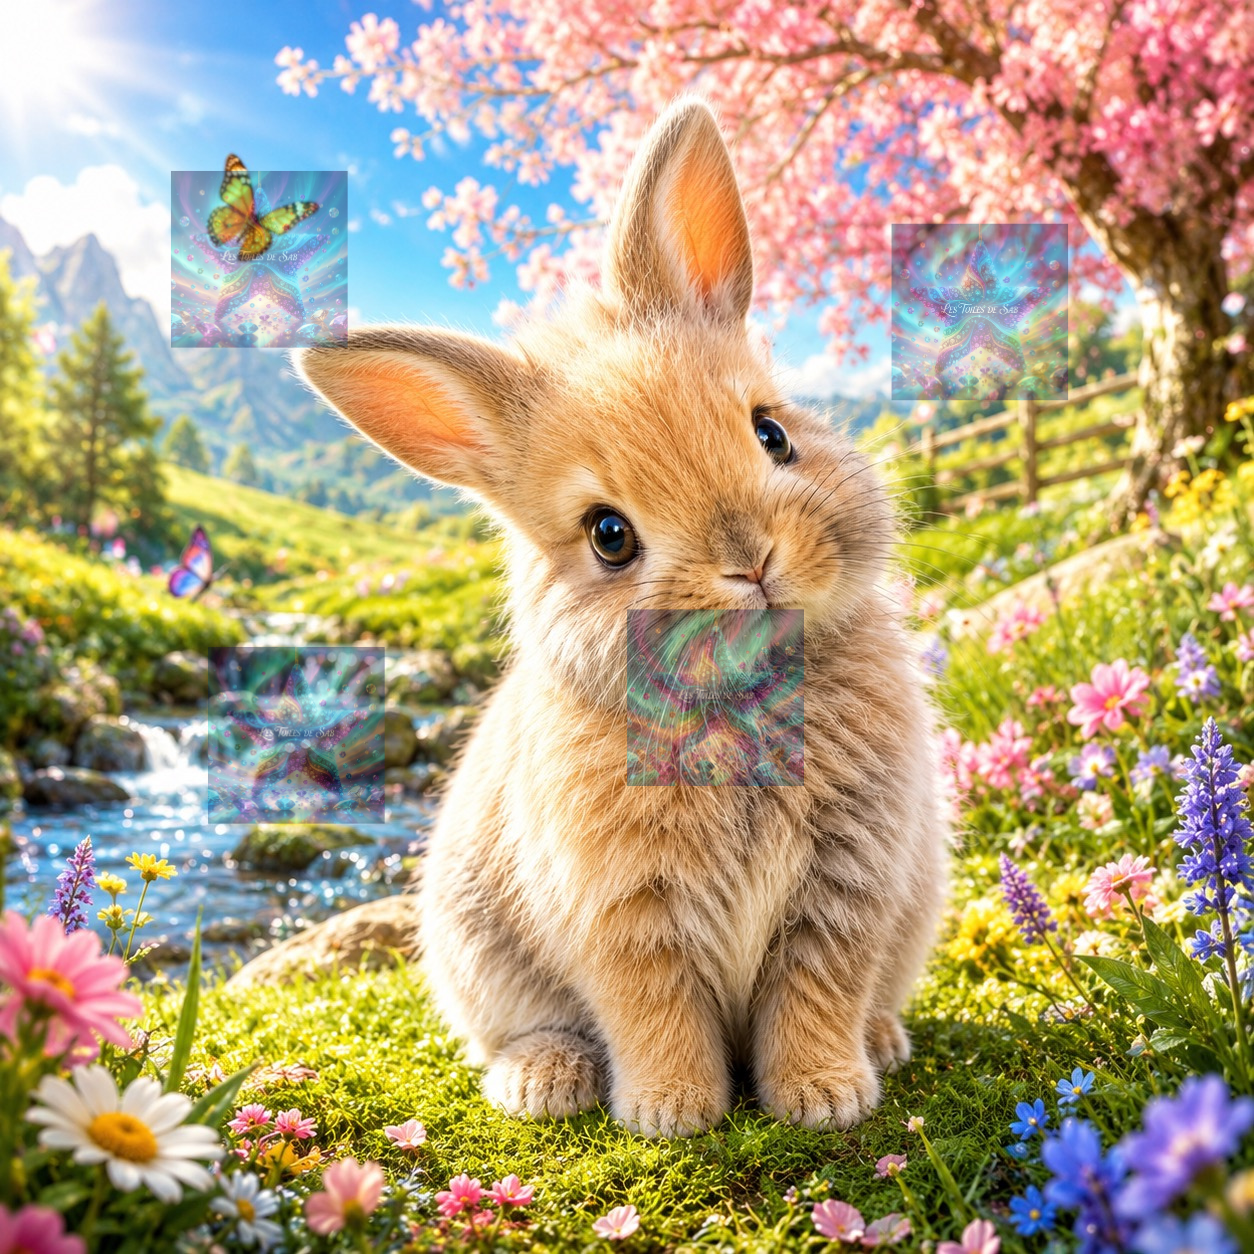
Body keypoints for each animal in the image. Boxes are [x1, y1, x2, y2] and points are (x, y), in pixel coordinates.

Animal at [295, 95, 948, 1137]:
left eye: (772, 431)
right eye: (609, 535)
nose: (751, 564)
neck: (740, 701)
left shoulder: (845, 888)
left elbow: (817, 993)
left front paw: (824, 1096)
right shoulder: (623, 914)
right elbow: (654, 1009)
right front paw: (673, 1112)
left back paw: (881, 1043)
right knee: (526, 1032)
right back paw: (545, 1083)